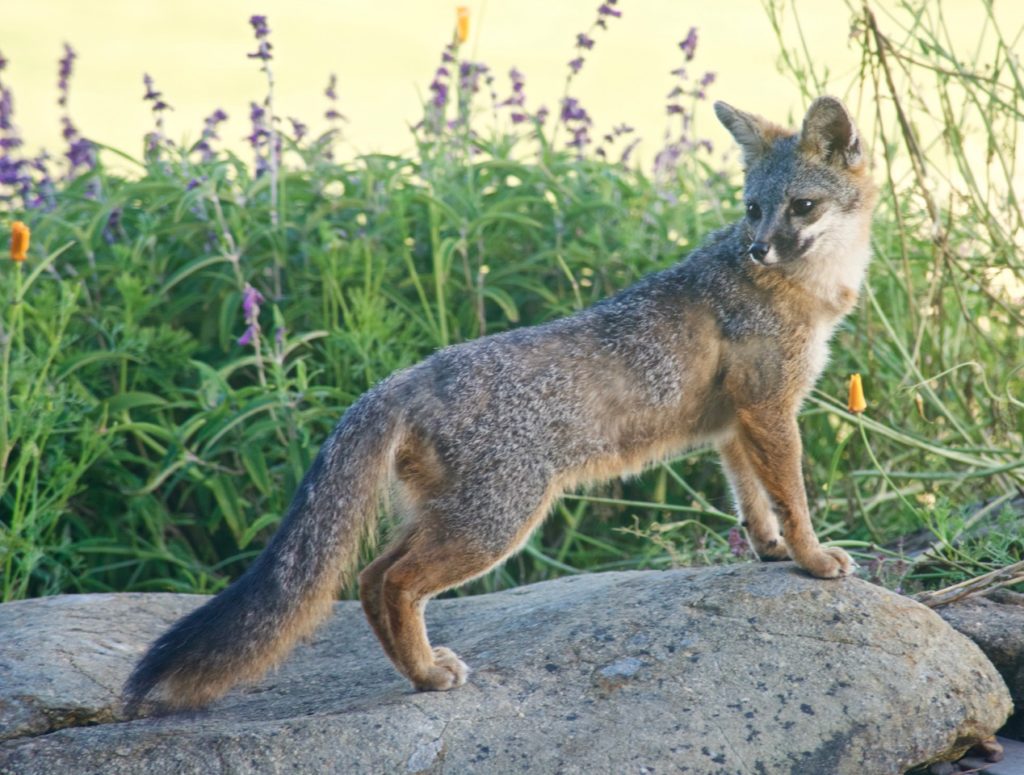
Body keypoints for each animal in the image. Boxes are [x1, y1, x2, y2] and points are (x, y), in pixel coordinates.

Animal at [125, 95, 880, 708]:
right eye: (753, 209)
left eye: (801, 207)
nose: (758, 250)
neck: (811, 292)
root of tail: (399, 379)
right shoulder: (770, 411)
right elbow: (794, 495)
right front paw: (814, 559)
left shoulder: (737, 423)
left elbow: (753, 501)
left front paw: (771, 551)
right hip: (495, 524)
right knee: (392, 584)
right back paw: (428, 676)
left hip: (452, 518)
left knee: (369, 576)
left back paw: (419, 670)